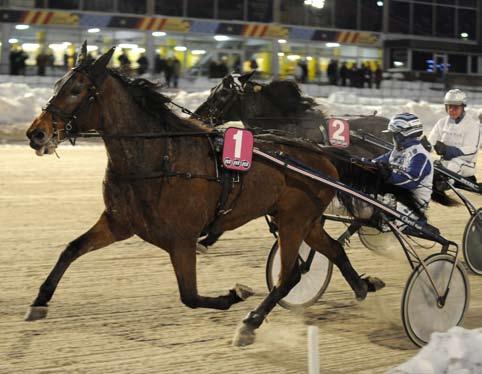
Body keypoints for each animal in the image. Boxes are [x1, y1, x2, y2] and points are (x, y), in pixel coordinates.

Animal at [25, 43, 422, 344]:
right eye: (58, 83)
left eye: (76, 90)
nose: (36, 133)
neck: (159, 157)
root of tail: (322, 153)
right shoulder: (118, 223)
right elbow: (71, 249)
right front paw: (40, 300)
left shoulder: (181, 239)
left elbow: (189, 296)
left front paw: (235, 295)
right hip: (305, 220)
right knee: (331, 252)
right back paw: (362, 286)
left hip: (294, 221)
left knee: (289, 275)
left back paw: (251, 322)